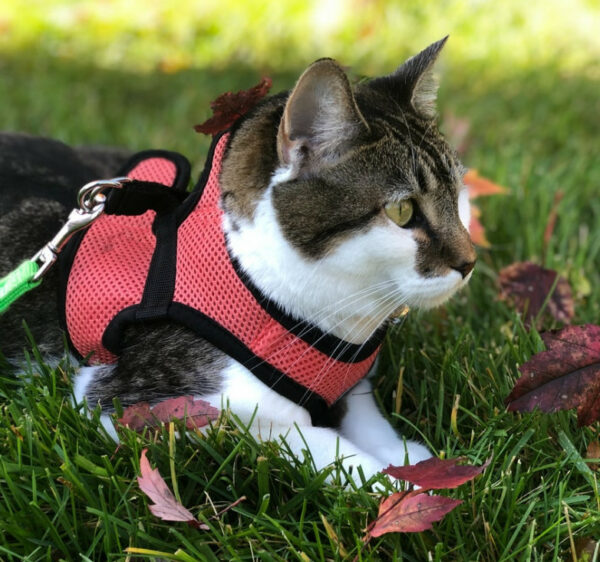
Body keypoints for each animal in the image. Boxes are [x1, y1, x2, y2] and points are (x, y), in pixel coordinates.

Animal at [1, 36, 478, 482]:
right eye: (403, 211)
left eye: (458, 194)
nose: (469, 261)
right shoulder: (132, 399)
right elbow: (310, 441)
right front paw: (403, 485)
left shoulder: (354, 389)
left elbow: (372, 426)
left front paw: (419, 463)